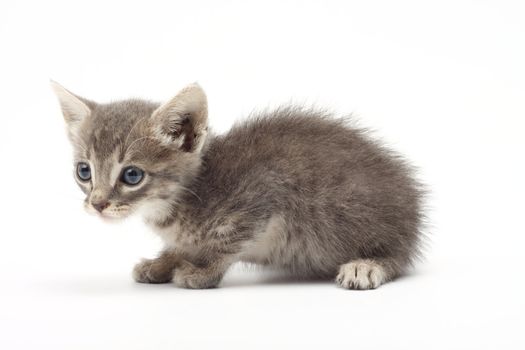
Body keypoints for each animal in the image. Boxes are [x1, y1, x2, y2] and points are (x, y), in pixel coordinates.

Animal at [51, 80, 424, 288]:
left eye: (131, 175)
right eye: (84, 171)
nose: (97, 204)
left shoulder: (264, 194)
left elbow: (228, 246)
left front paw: (203, 274)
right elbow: (180, 247)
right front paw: (161, 262)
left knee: (399, 256)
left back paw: (366, 265)